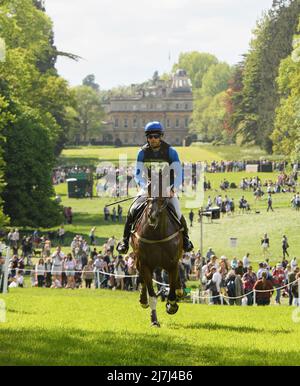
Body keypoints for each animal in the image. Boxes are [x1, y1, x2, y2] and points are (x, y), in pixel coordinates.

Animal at [131, 198, 184, 328]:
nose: (152, 216)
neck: (157, 233)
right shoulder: (145, 264)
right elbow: (152, 296)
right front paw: (154, 320)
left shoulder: (172, 264)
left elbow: (171, 292)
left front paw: (172, 306)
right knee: (142, 279)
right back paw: (143, 300)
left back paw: (179, 290)